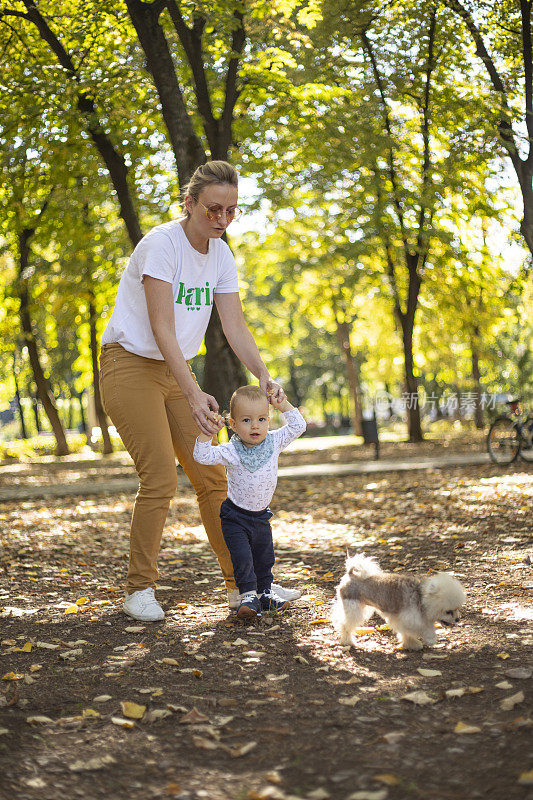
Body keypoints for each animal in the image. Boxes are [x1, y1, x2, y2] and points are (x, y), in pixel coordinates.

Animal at [330, 556, 464, 648]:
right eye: (448, 611)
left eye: (458, 608)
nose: (458, 619)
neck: (420, 598)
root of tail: (351, 574)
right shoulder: (408, 618)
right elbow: (424, 628)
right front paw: (430, 639)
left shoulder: (402, 620)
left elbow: (407, 633)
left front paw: (411, 644)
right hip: (353, 608)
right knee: (345, 625)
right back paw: (348, 641)